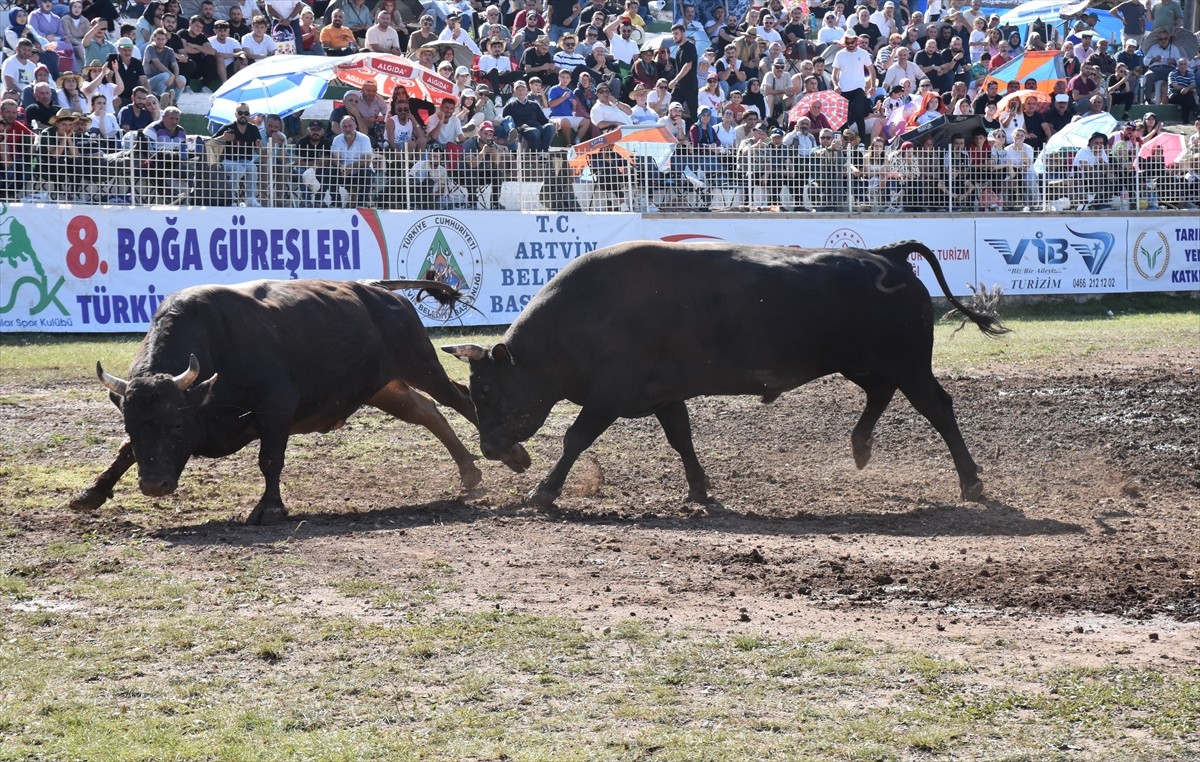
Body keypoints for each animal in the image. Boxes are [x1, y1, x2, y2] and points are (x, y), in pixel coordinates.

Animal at [69, 278, 530, 525]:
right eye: (133, 424)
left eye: (177, 424)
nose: (153, 485)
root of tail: (378, 289)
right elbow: (124, 453)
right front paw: (92, 492)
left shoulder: (275, 407)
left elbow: (270, 459)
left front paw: (270, 508)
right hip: (385, 388)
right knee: (428, 412)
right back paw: (470, 472)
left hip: (421, 365)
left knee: (460, 400)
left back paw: (511, 454)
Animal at [446, 238, 1008, 506]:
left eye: (487, 389)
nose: (489, 449)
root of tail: (887, 257)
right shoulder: (663, 395)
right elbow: (682, 439)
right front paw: (698, 488)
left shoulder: (608, 397)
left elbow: (575, 439)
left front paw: (545, 491)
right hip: (867, 365)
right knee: (880, 396)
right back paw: (861, 447)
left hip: (908, 365)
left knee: (938, 408)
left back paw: (971, 481)